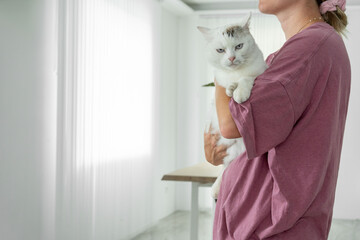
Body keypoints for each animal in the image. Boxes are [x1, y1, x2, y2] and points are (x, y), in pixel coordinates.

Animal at [198, 14, 268, 200]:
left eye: (239, 46)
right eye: (220, 50)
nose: (231, 58)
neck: (236, 72)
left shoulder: (260, 72)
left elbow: (246, 78)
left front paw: (240, 92)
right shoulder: (220, 82)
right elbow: (228, 85)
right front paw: (231, 89)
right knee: (226, 165)